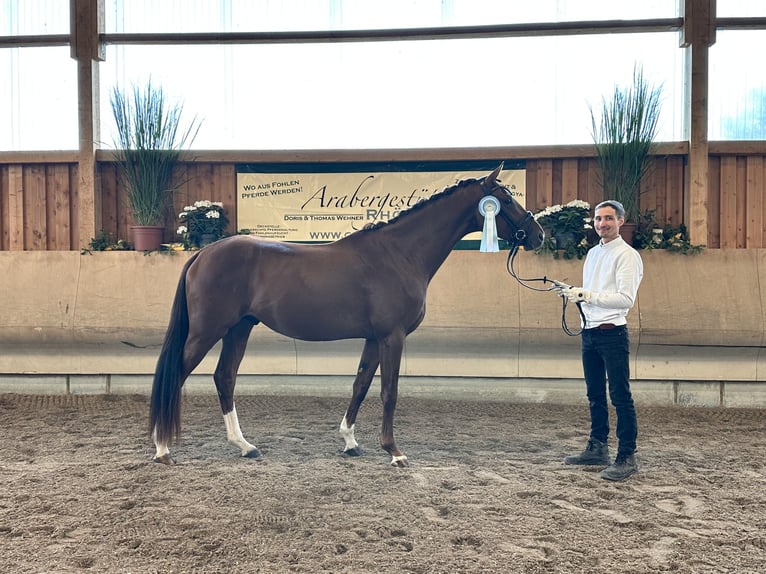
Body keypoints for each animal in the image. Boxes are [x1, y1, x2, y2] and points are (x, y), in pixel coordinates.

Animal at [149, 165, 545, 466]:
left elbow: (360, 384)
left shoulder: (374, 337)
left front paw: (350, 441)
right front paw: (395, 452)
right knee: (176, 374)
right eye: (506, 199)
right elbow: (389, 391)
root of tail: (204, 253)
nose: (539, 235)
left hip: (238, 328)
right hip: (208, 330)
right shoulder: (392, 336)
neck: (399, 254)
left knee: (224, 377)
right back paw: (162, 448)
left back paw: (245, 446)